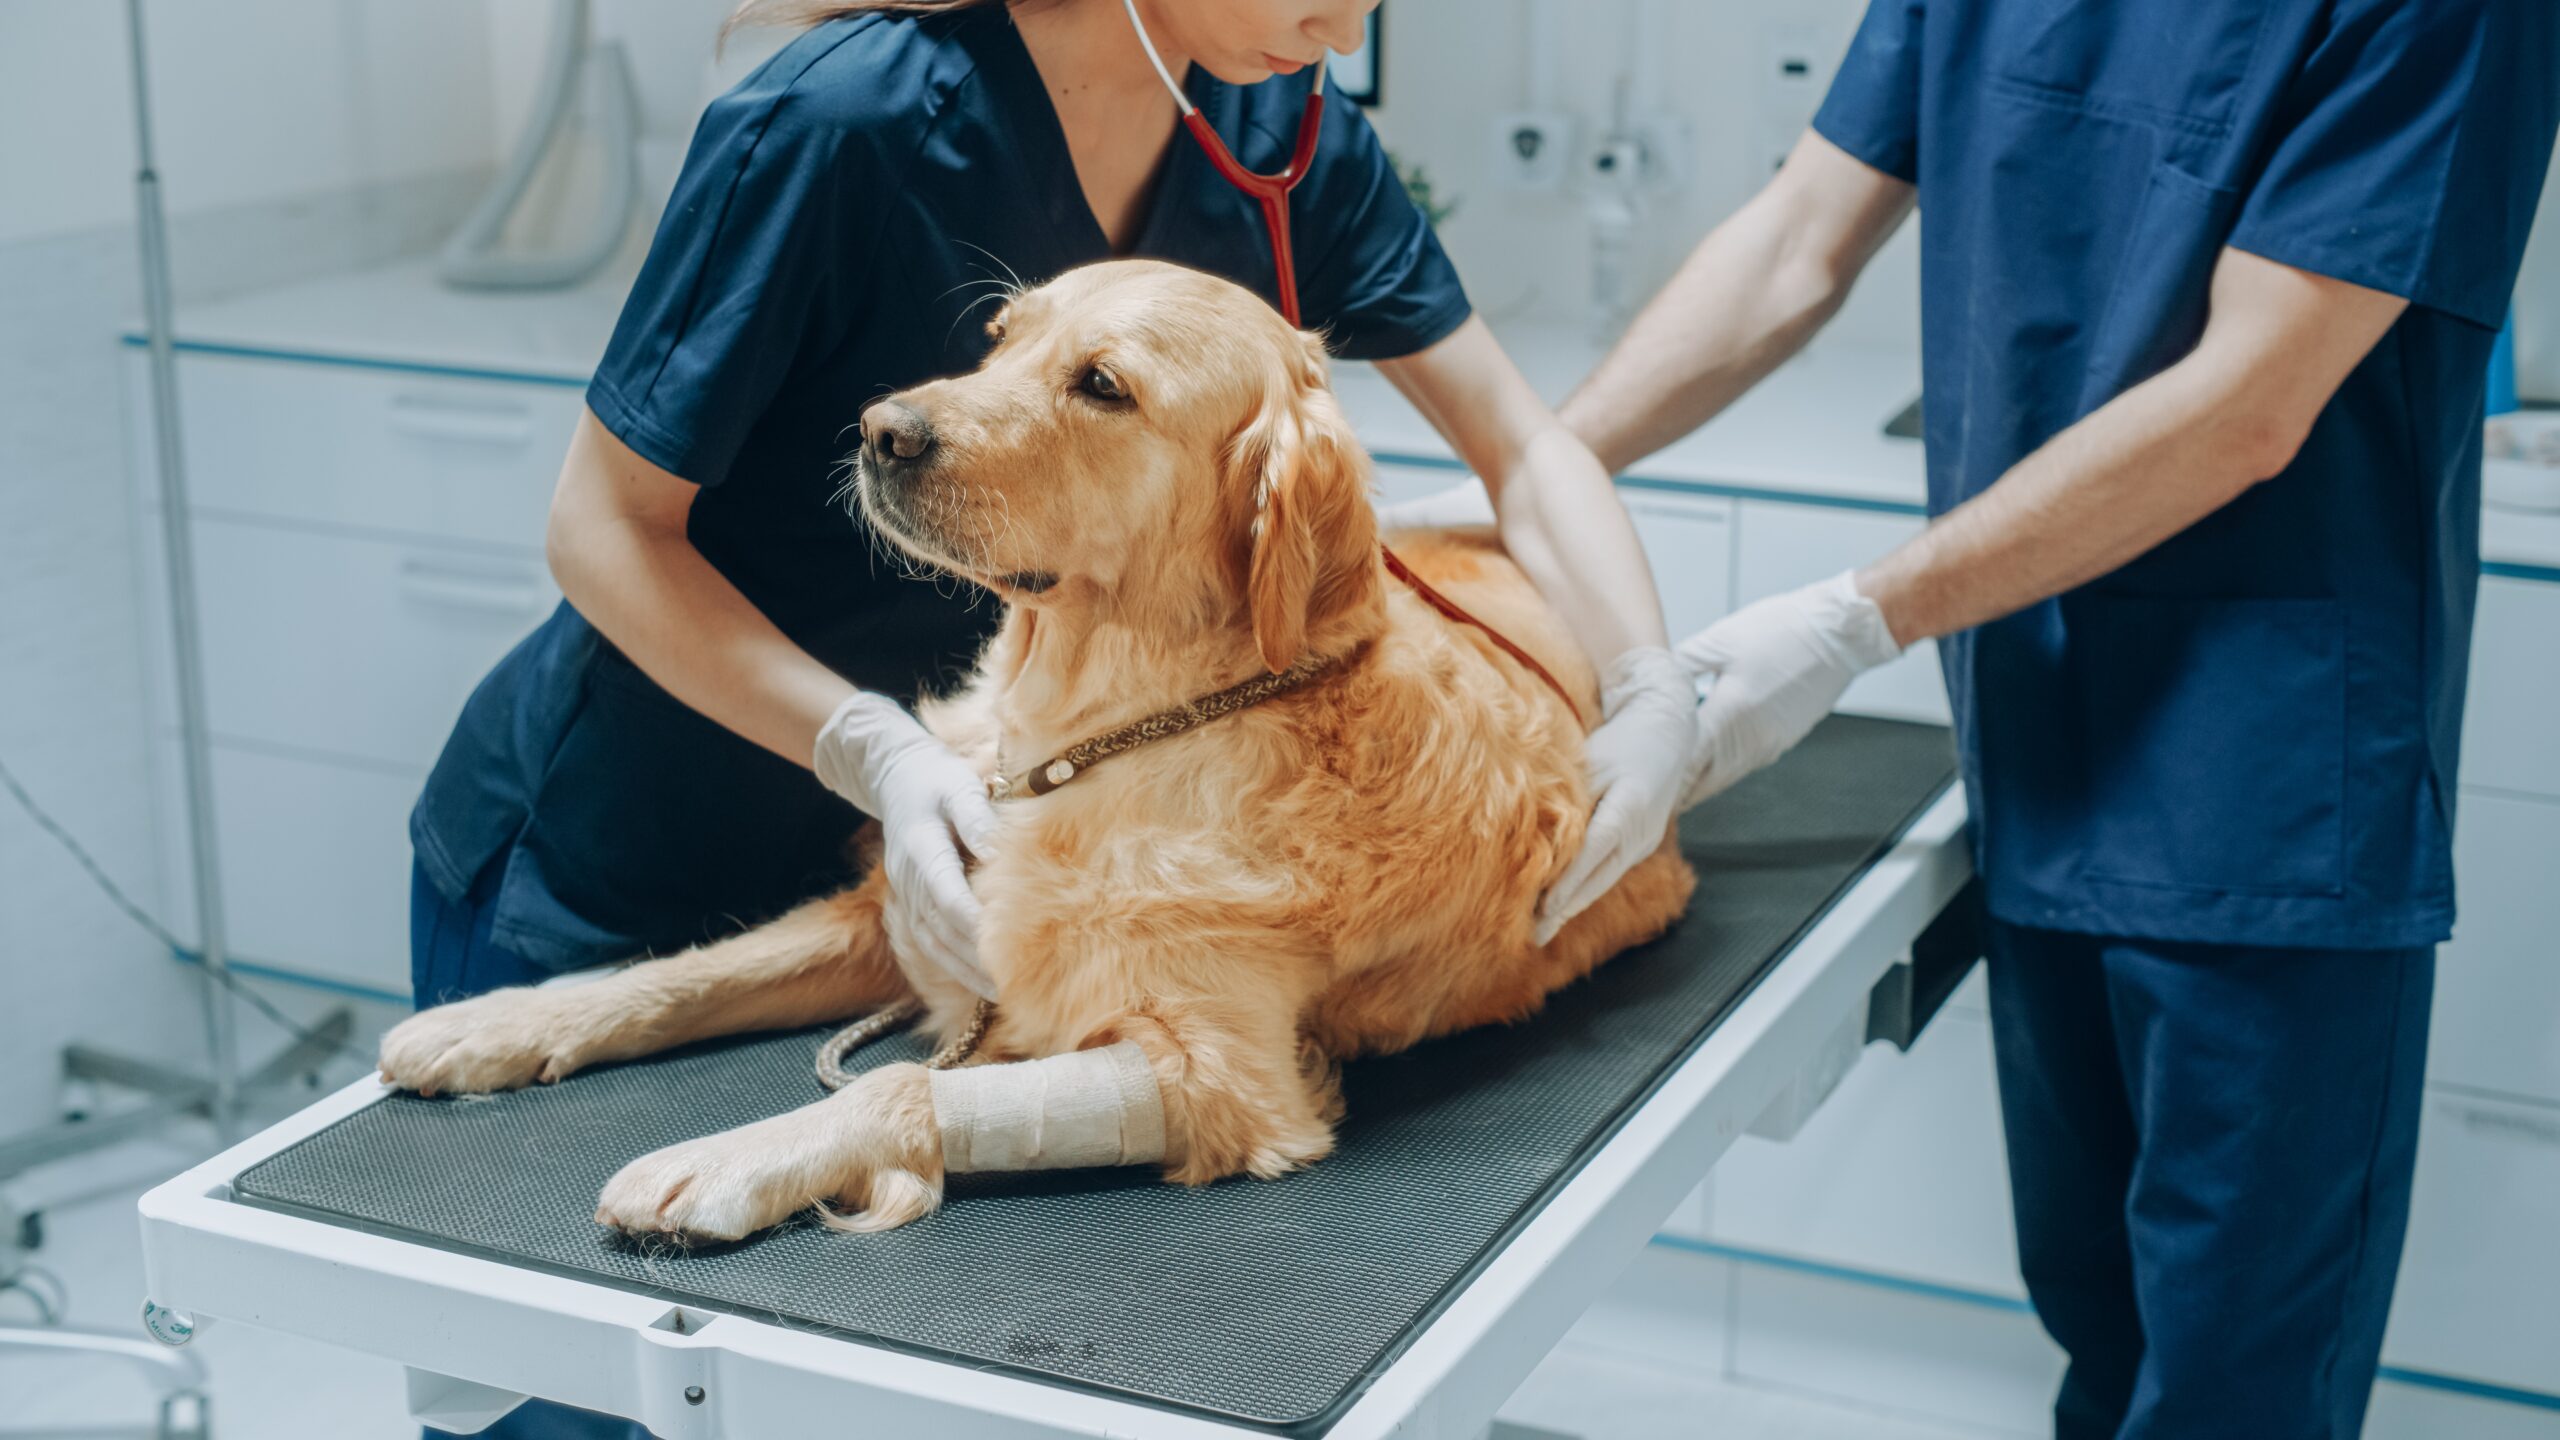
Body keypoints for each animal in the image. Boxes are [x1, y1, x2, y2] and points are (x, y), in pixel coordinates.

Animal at [373, 257, 1699, 1235]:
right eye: (999, 338)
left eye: (1102, 384)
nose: (879, 430)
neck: (1097, 737)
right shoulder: (909, 909)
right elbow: (688, 972)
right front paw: (496, 1023)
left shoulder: (1225, 1077)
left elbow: (907, 1080)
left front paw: (728, 1160)